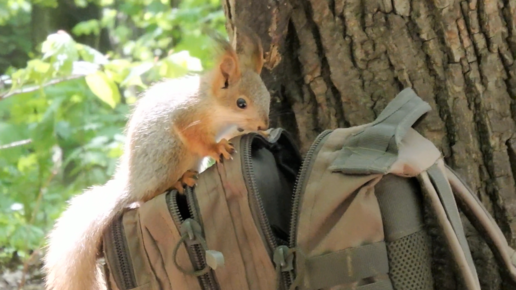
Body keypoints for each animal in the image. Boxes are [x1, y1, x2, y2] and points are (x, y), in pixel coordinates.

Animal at [42, 31, 270, 290]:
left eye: (267, 96)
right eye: (241, 103)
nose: (264, 124)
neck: (214, 106)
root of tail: (132, 184)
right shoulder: (186, 117)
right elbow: (197, 139)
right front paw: (217, 148)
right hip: (169, 156)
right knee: (147, 196)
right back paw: (179, 182)